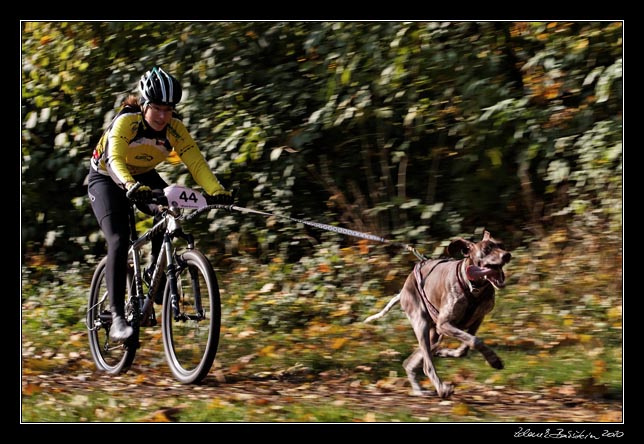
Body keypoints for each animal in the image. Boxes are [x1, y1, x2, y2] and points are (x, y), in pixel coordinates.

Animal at [364, 231, 510, 398]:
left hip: (433, 336)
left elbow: (465, 347)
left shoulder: (477, 319)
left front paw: (447, 353)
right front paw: (493, 359)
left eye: (502, 245)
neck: (473, 288)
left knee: (410, 362)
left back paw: (419, 390)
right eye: (487, 249)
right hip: (422, 324)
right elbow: (475, 341)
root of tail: (403, 290)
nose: (507, 255)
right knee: (427, 366)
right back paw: (441, 388)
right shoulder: (444, 324)